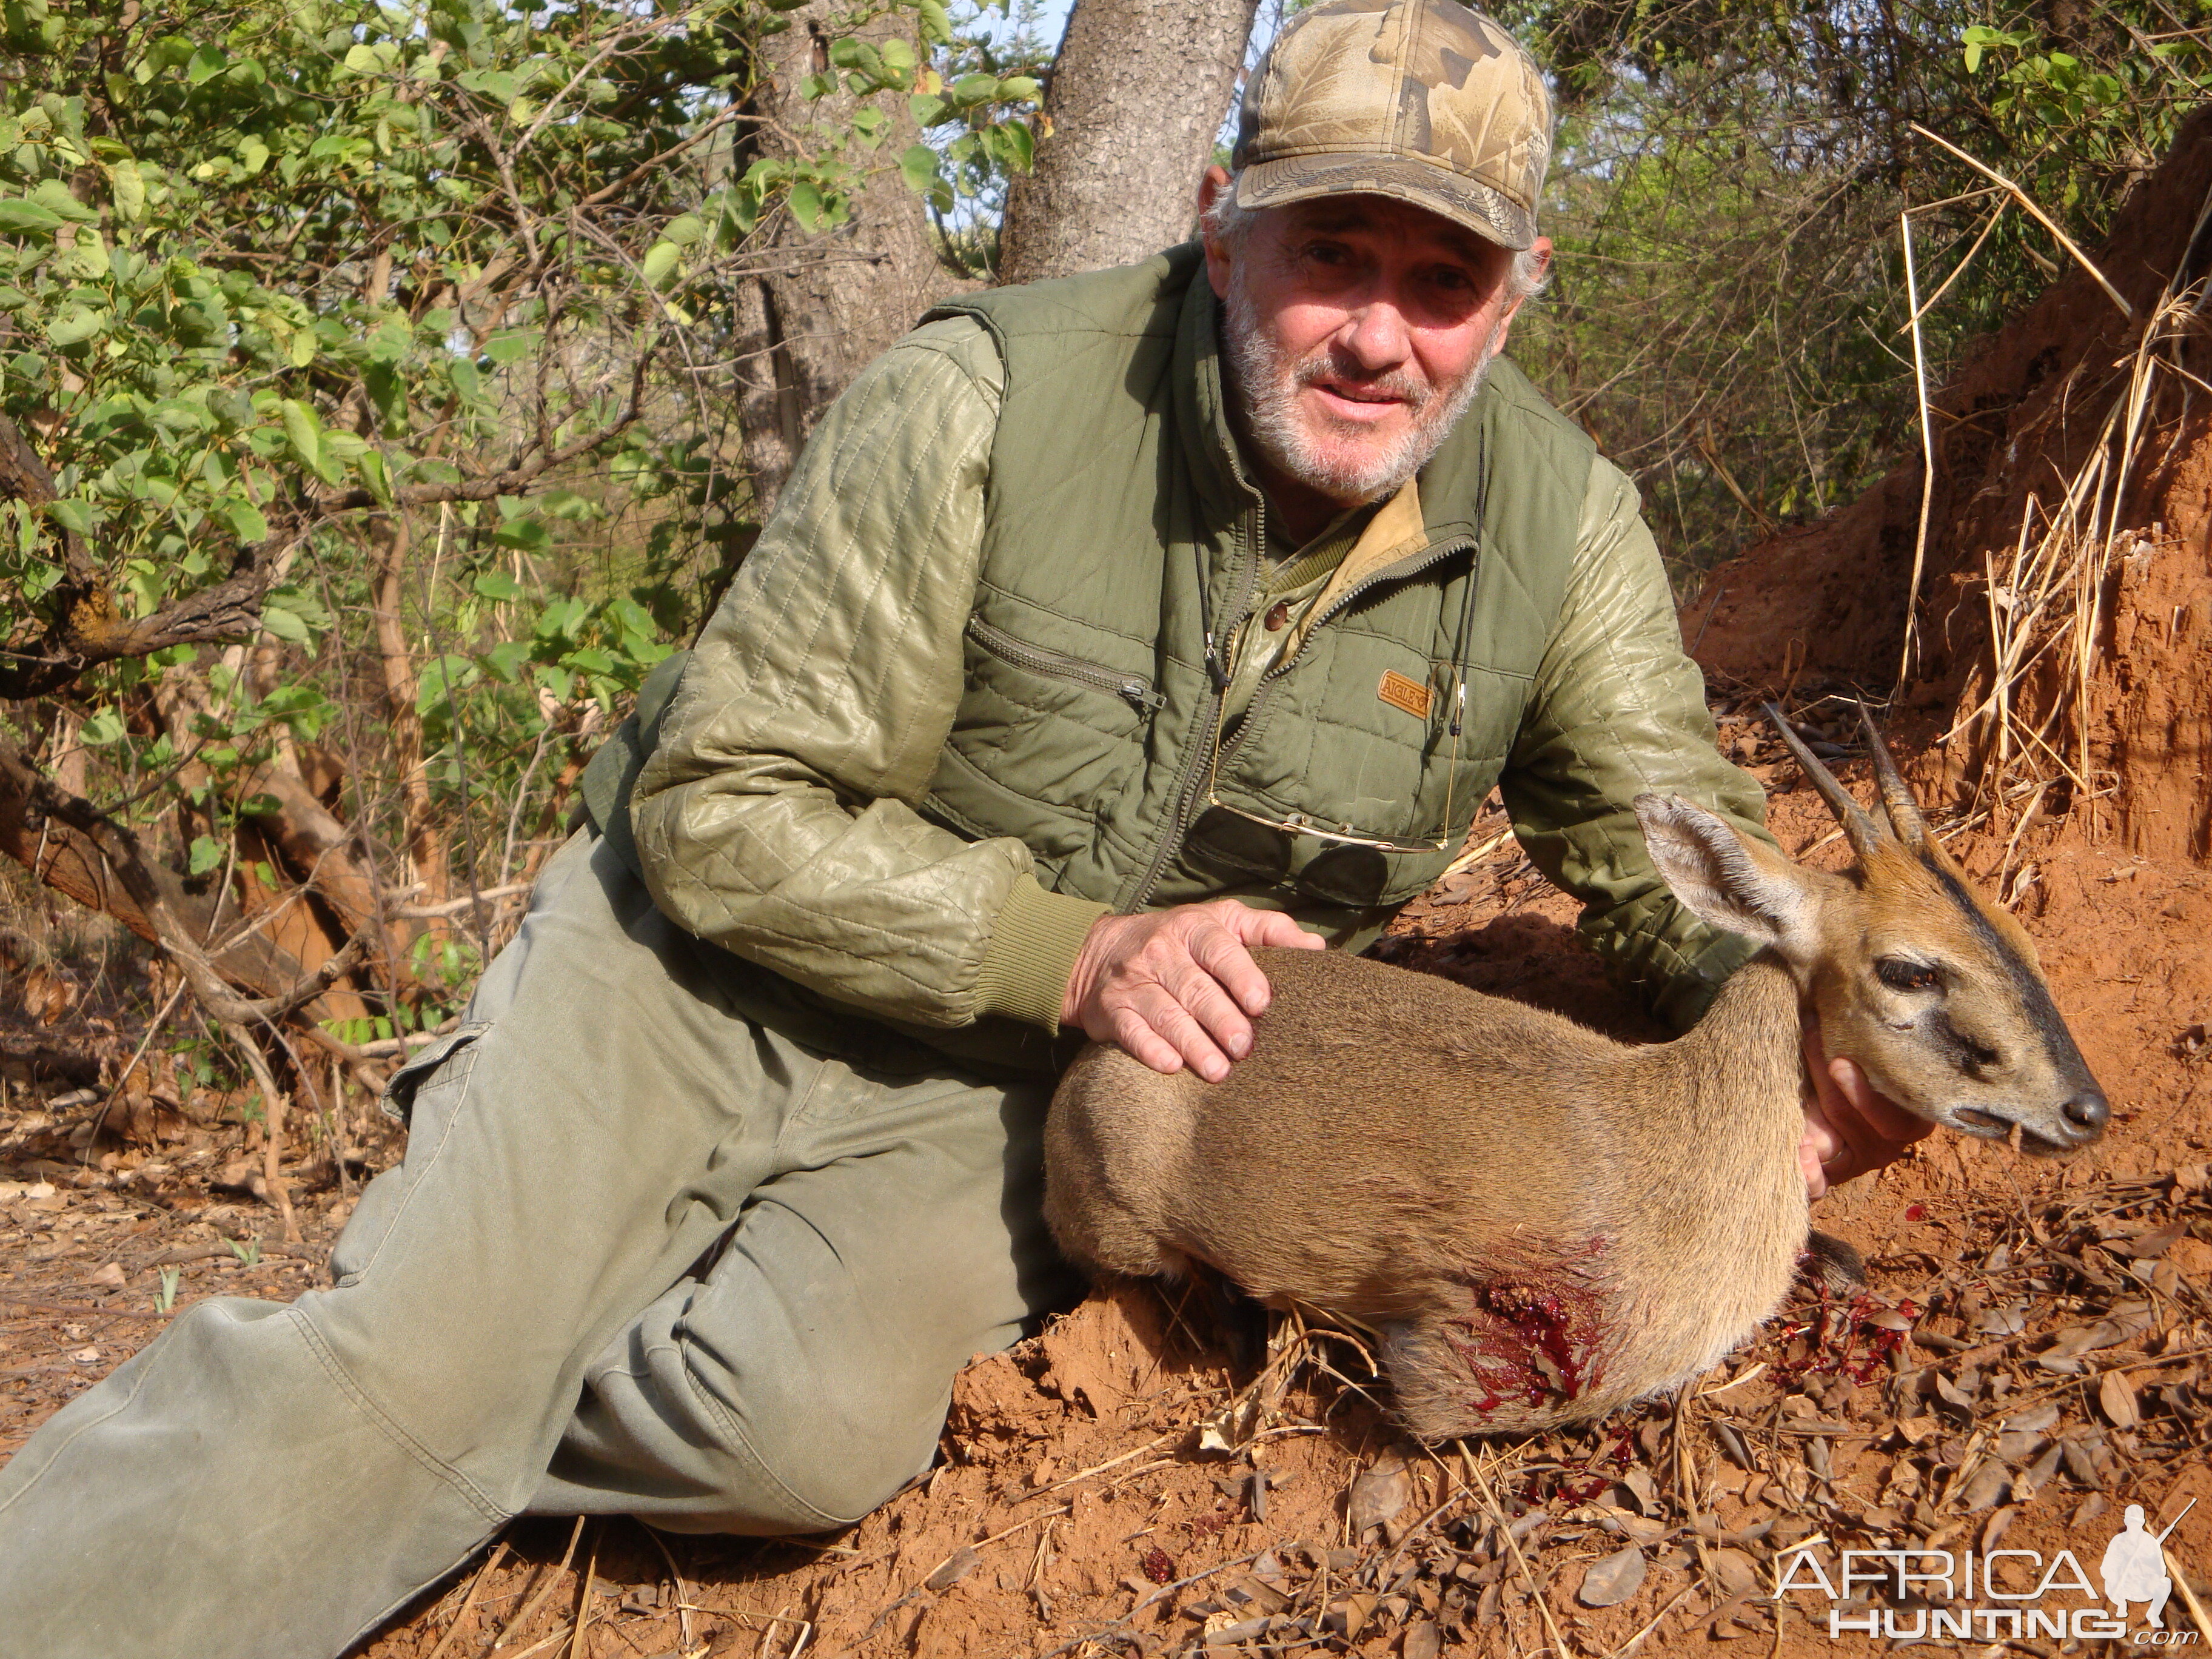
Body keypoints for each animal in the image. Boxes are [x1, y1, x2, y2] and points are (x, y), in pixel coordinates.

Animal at [1039, 716, 2105, 1442]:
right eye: (1909, 969)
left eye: (2019, 939)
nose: (2083, 1109)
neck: (1675, 1135)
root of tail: (1087, 1065)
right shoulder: (1452, 1371)